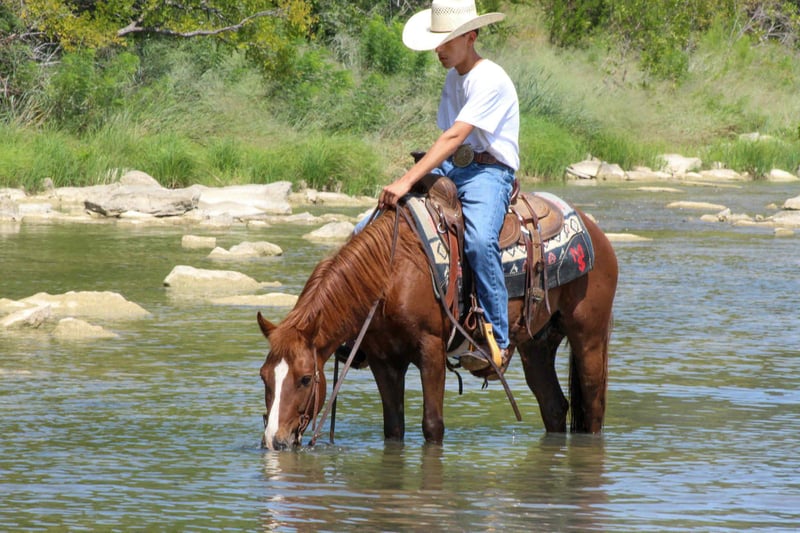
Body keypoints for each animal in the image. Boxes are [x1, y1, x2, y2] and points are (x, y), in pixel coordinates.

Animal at [257, 194, 618, 450]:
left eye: (305, 379)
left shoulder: (430, 350)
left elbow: (433, 426)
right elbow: (394, 428)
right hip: (537, 345)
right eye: (264, 377)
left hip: (589, 336)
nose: (275, 441)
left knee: (593, 404)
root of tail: (595, 232)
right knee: (554, 406)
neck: (391, 274)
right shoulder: (383, 360)